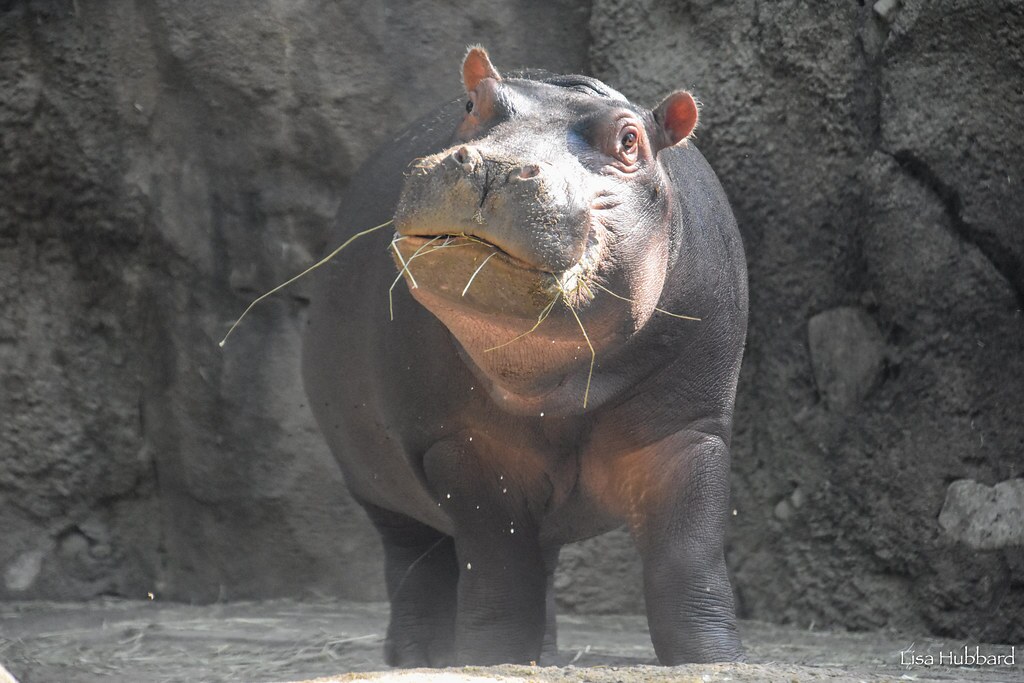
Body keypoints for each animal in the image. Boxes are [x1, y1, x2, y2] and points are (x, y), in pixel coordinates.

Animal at [302, 47, 748, 667]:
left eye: (629, 141)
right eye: (472, 104)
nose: (493, 167)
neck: (559, 380)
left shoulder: (688, 429)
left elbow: (688, 555)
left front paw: (714, 659)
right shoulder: (463, 448)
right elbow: (498, 568)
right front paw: (490, 658)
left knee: (540, 562)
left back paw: (547, 654)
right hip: (377, 483)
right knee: (416, 564)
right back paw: (417, 656)